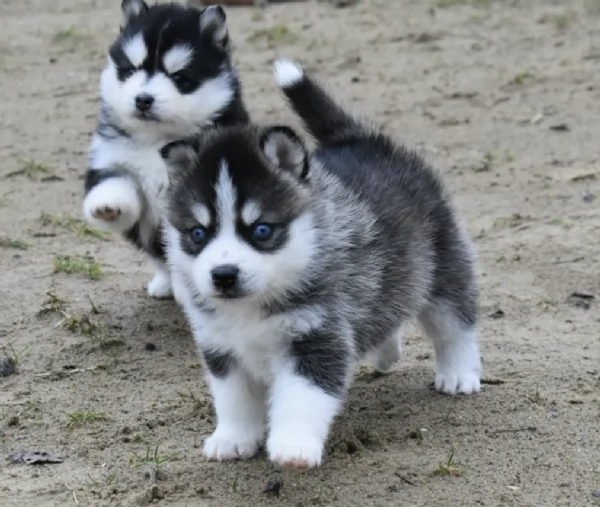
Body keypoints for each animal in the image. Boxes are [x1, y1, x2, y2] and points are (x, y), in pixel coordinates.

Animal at [82, 0, 248, 300]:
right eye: (130, 70)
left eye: (179, 77)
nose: (143, 100)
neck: (156, 140)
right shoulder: (112, 157)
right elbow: (114, 184)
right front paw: (107, 206)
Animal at [161, 58, 482, 468]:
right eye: (198, 234)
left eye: (262, 230)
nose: (224, 275)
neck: (252, 308)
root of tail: (358, 139)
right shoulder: (220, 346)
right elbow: (233, 398)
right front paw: (233, 438)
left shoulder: (316, 338)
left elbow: (302, 398)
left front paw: (293, 447)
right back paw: (386, 352)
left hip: (443, 264)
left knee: (454, 322)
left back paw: (458, 373)